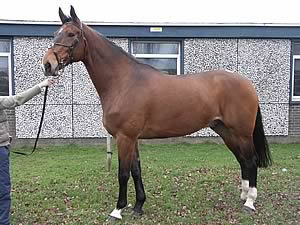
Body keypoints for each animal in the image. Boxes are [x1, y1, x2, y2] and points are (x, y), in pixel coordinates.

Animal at [41, 6, 272, 221]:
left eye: (71, 34)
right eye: (55, 33)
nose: (48, 64)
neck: (123, 81)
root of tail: (246, 83)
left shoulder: (124, 137)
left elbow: (123, 173)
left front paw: (117, 210)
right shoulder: (132, 138)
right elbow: (136, 170)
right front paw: (138, 206)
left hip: (241, 133)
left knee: (251, 160)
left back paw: (250, 202)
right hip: (225, 131)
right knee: (242, 160)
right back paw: (244, 195)